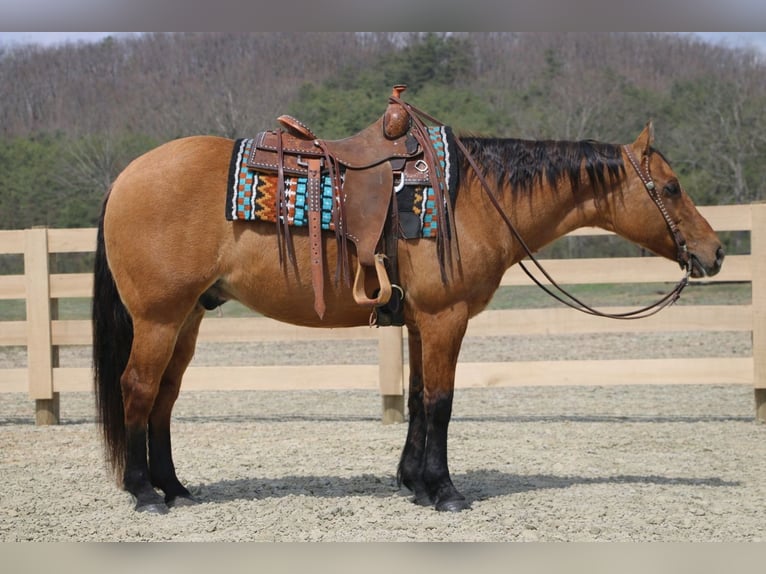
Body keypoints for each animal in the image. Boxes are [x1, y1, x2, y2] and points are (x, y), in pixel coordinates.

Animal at [92, 119, 724, 514]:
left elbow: (420, 399)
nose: (715, 252)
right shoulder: (446, 317)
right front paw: (445, 491)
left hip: (188, 320)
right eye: (671, 187)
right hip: (159, 318)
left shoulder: (422, 321)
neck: (473, 197)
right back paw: (143, 492)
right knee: (138, 388)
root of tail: (125, 177)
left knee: (165, 397)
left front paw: (414, 482)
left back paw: (175, 487)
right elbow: (441, 402)